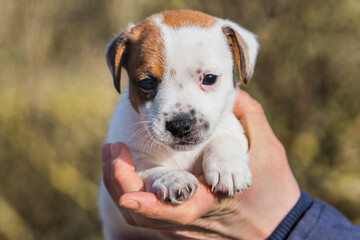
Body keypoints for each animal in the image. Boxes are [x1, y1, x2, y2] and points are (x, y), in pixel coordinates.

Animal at [99, 8, 258, 238]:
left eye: (209, 78)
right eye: (146, 83)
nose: (180, 125)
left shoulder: (235, 130)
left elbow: (224, 139)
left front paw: (228, 167)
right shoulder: (133, 157)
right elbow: (151, 169)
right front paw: (173, 179)